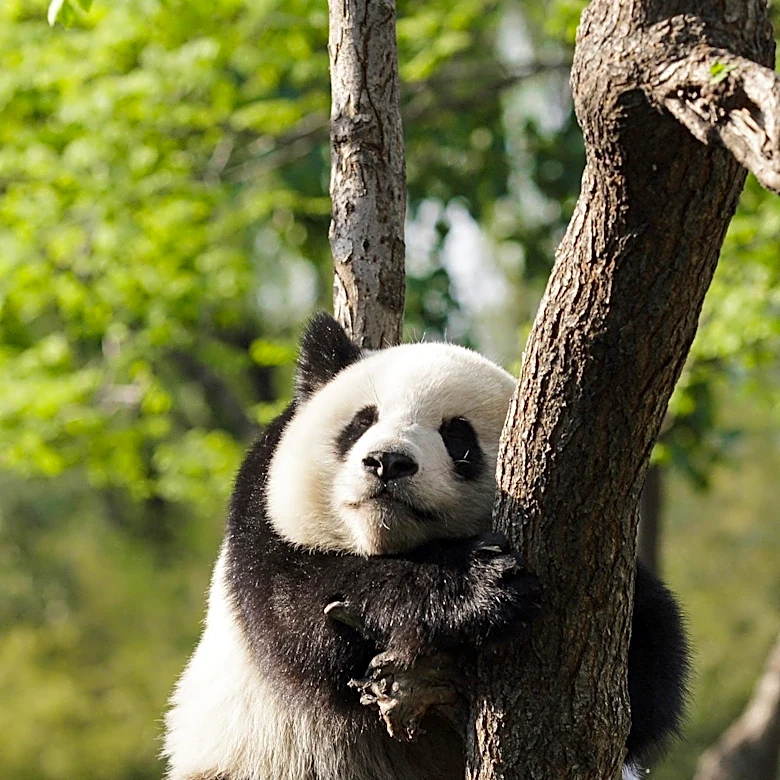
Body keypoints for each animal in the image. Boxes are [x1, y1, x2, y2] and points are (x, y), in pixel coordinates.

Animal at [163, 312, 689, 780]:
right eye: (361, 423)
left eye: (457, 437)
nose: (387, 462)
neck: (389, 541)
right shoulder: (257, 518)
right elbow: (302, 608)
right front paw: (477, 588)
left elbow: (648, 685)